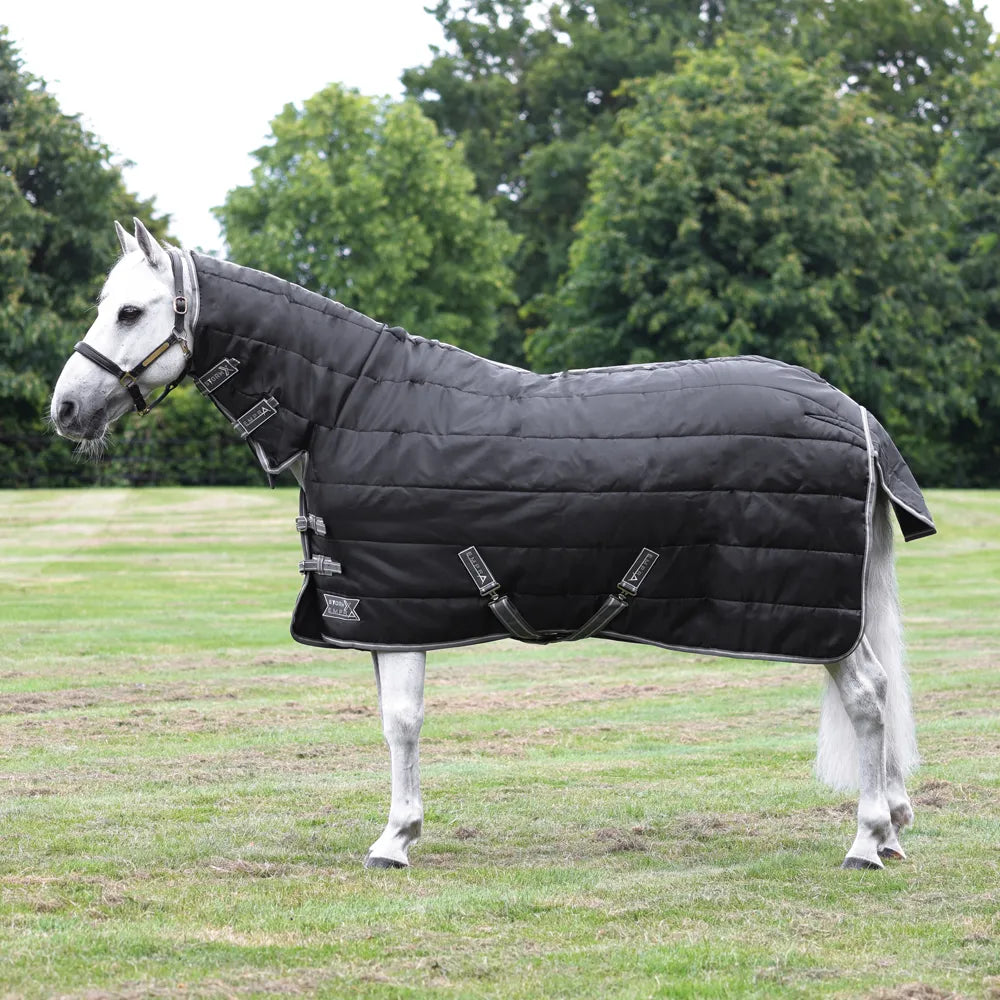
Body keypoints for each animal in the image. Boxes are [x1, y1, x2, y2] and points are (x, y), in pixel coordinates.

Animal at [50, 218, 935, 871]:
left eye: (130, 312)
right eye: (105, 305)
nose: (64, 407)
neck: (347, 404)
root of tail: (852, 411)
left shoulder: (397, 611)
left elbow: (401, 723)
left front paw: (395, 839)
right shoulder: (382, 611)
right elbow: (390, 719)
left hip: (823, 619)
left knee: (867, 697)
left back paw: (866, 839)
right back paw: (891, 825)